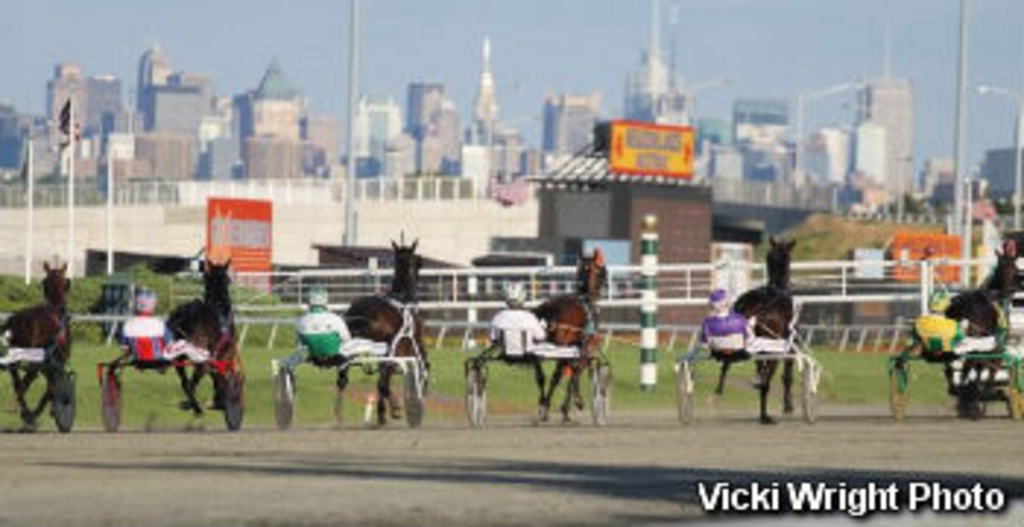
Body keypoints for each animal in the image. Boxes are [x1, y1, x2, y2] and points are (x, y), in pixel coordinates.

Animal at [1, 261, 74, 431]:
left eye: (65, 282)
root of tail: (18, 321)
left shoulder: (48, 364)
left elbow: (50, 387)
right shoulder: (57, 361)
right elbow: (52, 388)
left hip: (17, 357)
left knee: (18, 380)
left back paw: (25, 411)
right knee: (27, 379)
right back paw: (27, 413)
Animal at [169, 259, 247, 429]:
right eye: (228, 279)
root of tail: (186, 316)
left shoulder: (214, 359)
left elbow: (217, 378)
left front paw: (219, 401)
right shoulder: (224, 356)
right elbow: (221, 379)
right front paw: (222, 401)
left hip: (179, 359)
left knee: (185, 383)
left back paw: (193, 405)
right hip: (201, 359)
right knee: (192, 383)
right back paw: (197, 408)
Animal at [344, 239, 423, 425]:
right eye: (417, 262)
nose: (415, 295)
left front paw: (381, 412)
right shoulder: (409, 346)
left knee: (344, 378)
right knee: (384, 380)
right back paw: (394, 405)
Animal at [729, 238, 798, 425]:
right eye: (789, 257)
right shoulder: (787, 343)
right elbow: (787, 374)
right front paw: (788, 406)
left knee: (762, 376)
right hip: (771, 348)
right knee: (767, 379)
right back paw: (765, 416)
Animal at [937, 241, 1019, 419]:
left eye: (1015, 269)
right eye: (1003, 267)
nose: (1009, 290)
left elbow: (978, 373)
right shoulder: (995, 351)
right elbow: (987, 376)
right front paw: (978, 404)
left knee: (951, 368)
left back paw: (958, 393)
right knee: (967, 368)